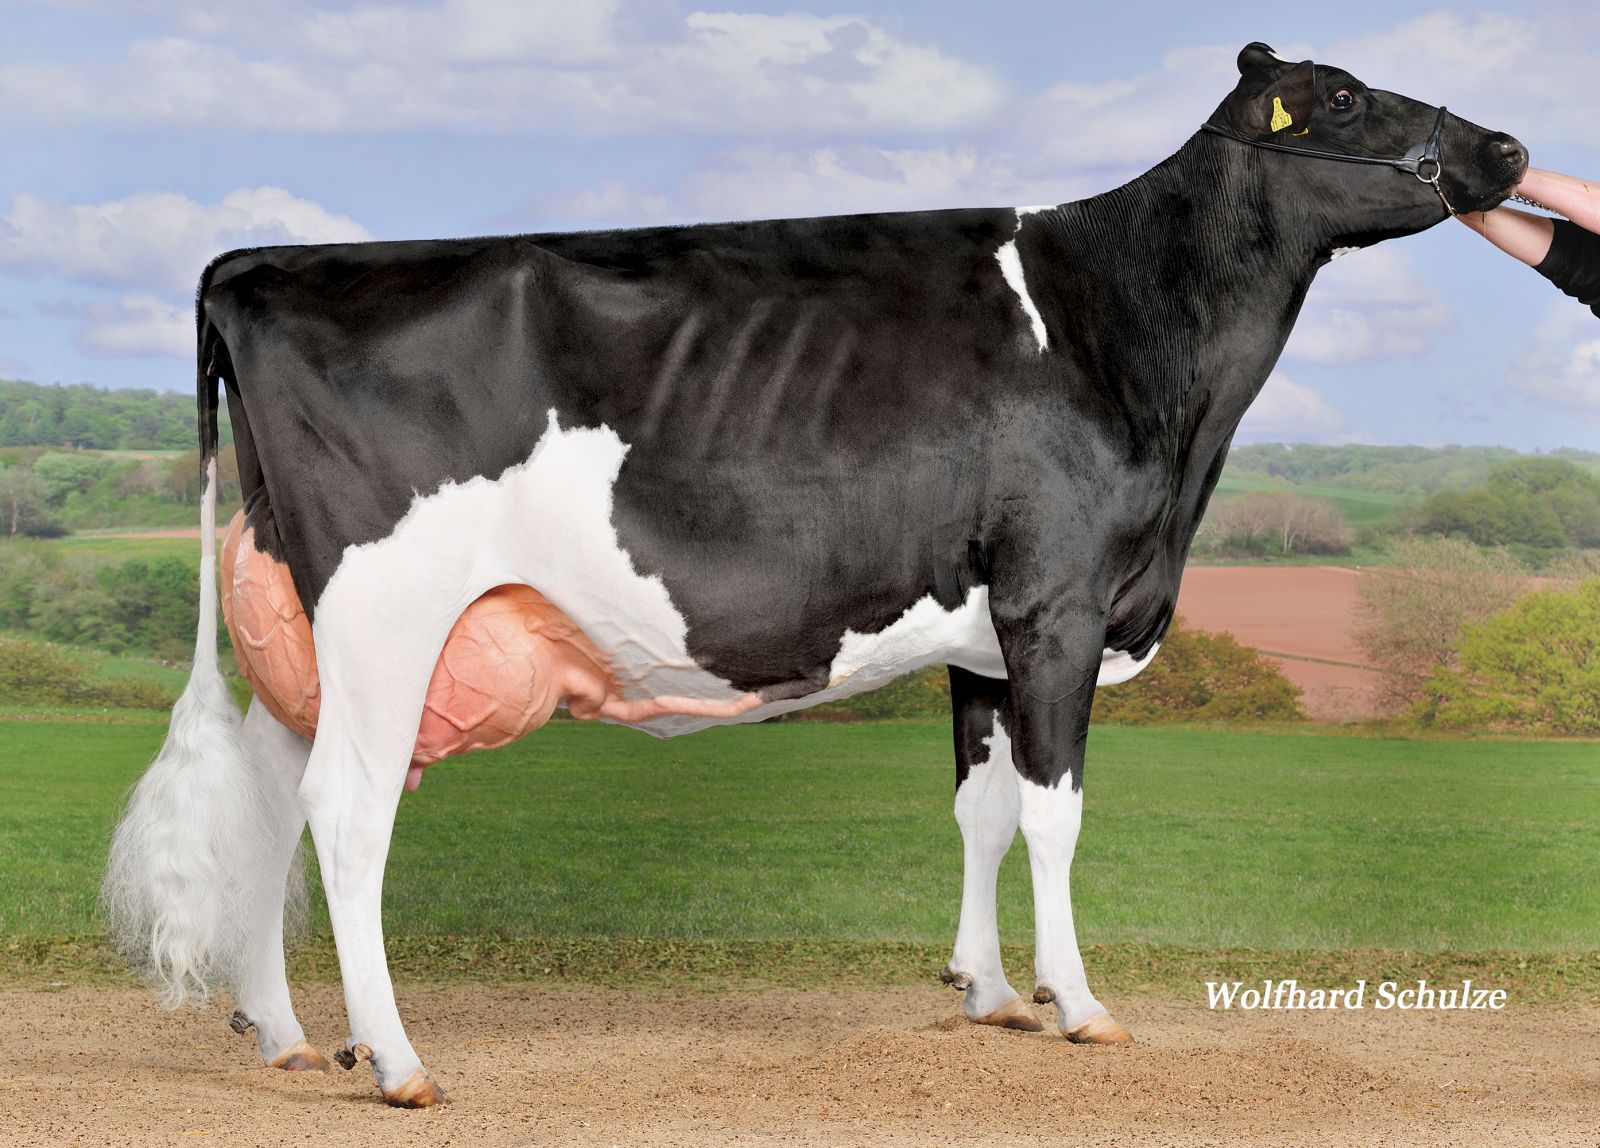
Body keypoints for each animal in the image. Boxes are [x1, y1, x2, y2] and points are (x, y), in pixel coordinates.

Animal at [103, 43, 1526, 1107]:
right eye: (1342, 99)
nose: (1506, 150)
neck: (1127, 332)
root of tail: (258, 261)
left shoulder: (981, 630)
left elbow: (979, 808)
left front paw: (987, 991)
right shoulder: (1058, 598)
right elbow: (1054, 812)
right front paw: (1078, 1001)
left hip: (304, 636)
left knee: (274, 801)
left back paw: (285, 1031)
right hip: (385, 610)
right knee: (346, 813)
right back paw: (394, 1058)